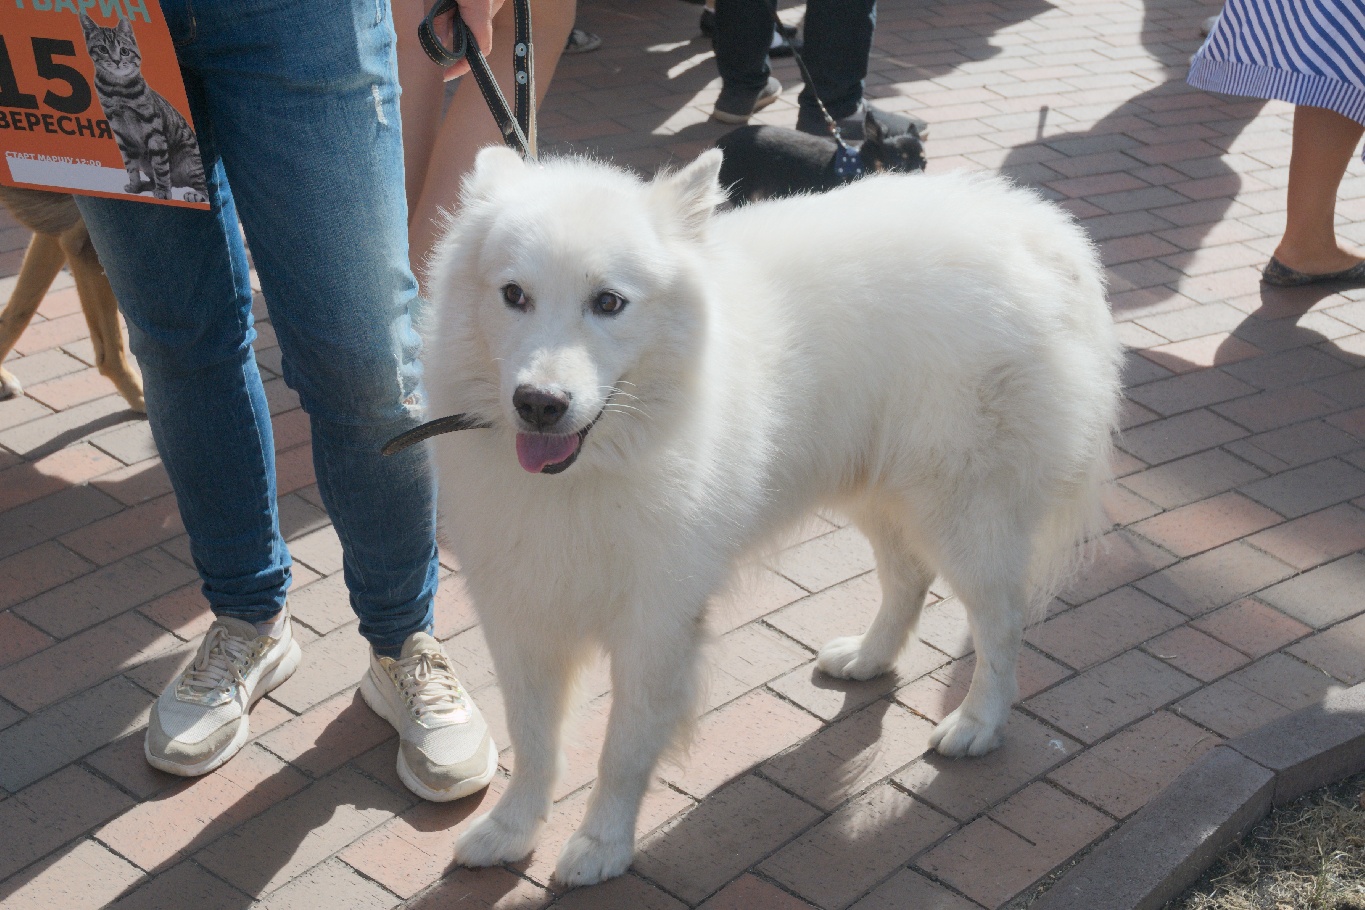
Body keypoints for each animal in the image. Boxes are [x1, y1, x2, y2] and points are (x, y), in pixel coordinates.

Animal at [417, 147, 1122, 887]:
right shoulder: (520, 613)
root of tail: (1041, 230)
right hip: (879, 492)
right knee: (908, 580)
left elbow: (623, 750)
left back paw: (977, 725)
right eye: (513, 296)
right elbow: (532, 741)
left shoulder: (656, 623)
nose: (539, 404)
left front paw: (602, 846)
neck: (592, 468)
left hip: (965, 518)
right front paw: (511, 831)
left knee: (999, 624)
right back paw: (868, 658)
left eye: (608, 302)